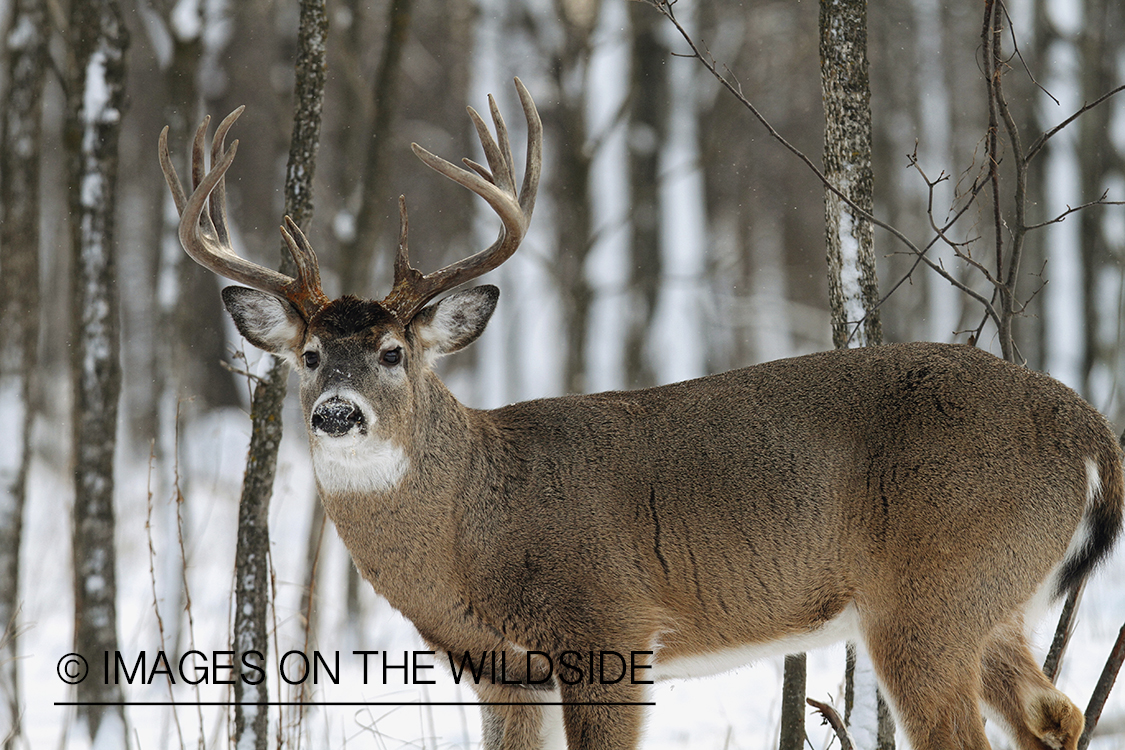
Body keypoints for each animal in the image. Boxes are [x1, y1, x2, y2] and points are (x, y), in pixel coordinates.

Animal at [163, 77, 1125, 750]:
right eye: (309, 356)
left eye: (395, 353)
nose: (335, 413)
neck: (476, 521)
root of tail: (1085, 426)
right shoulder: (499, 667)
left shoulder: (609, 626)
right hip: (994, 599)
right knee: (1056, 717)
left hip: (933, 594)